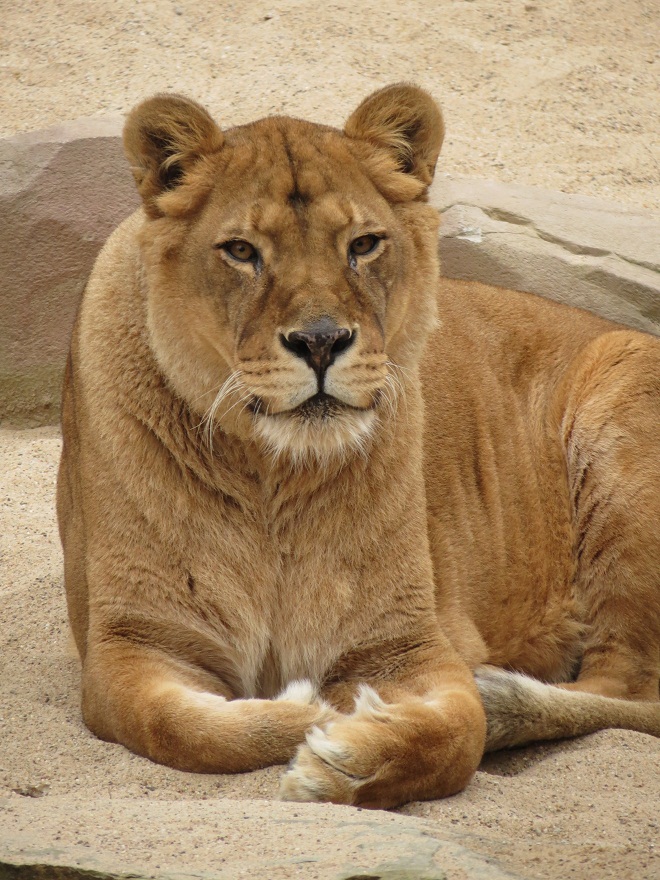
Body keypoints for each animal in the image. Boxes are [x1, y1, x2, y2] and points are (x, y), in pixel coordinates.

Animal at [57, 84, 660, 809]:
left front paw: (350, 755)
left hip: (622, 403)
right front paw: (311, 713)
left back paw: (504, 697)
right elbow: (183, 727)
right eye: (241, 251)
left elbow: (458, 733)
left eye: (364, 245)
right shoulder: (131, 639)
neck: (271, 473)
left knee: (632, 690)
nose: (320, 341)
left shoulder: (408, 641)